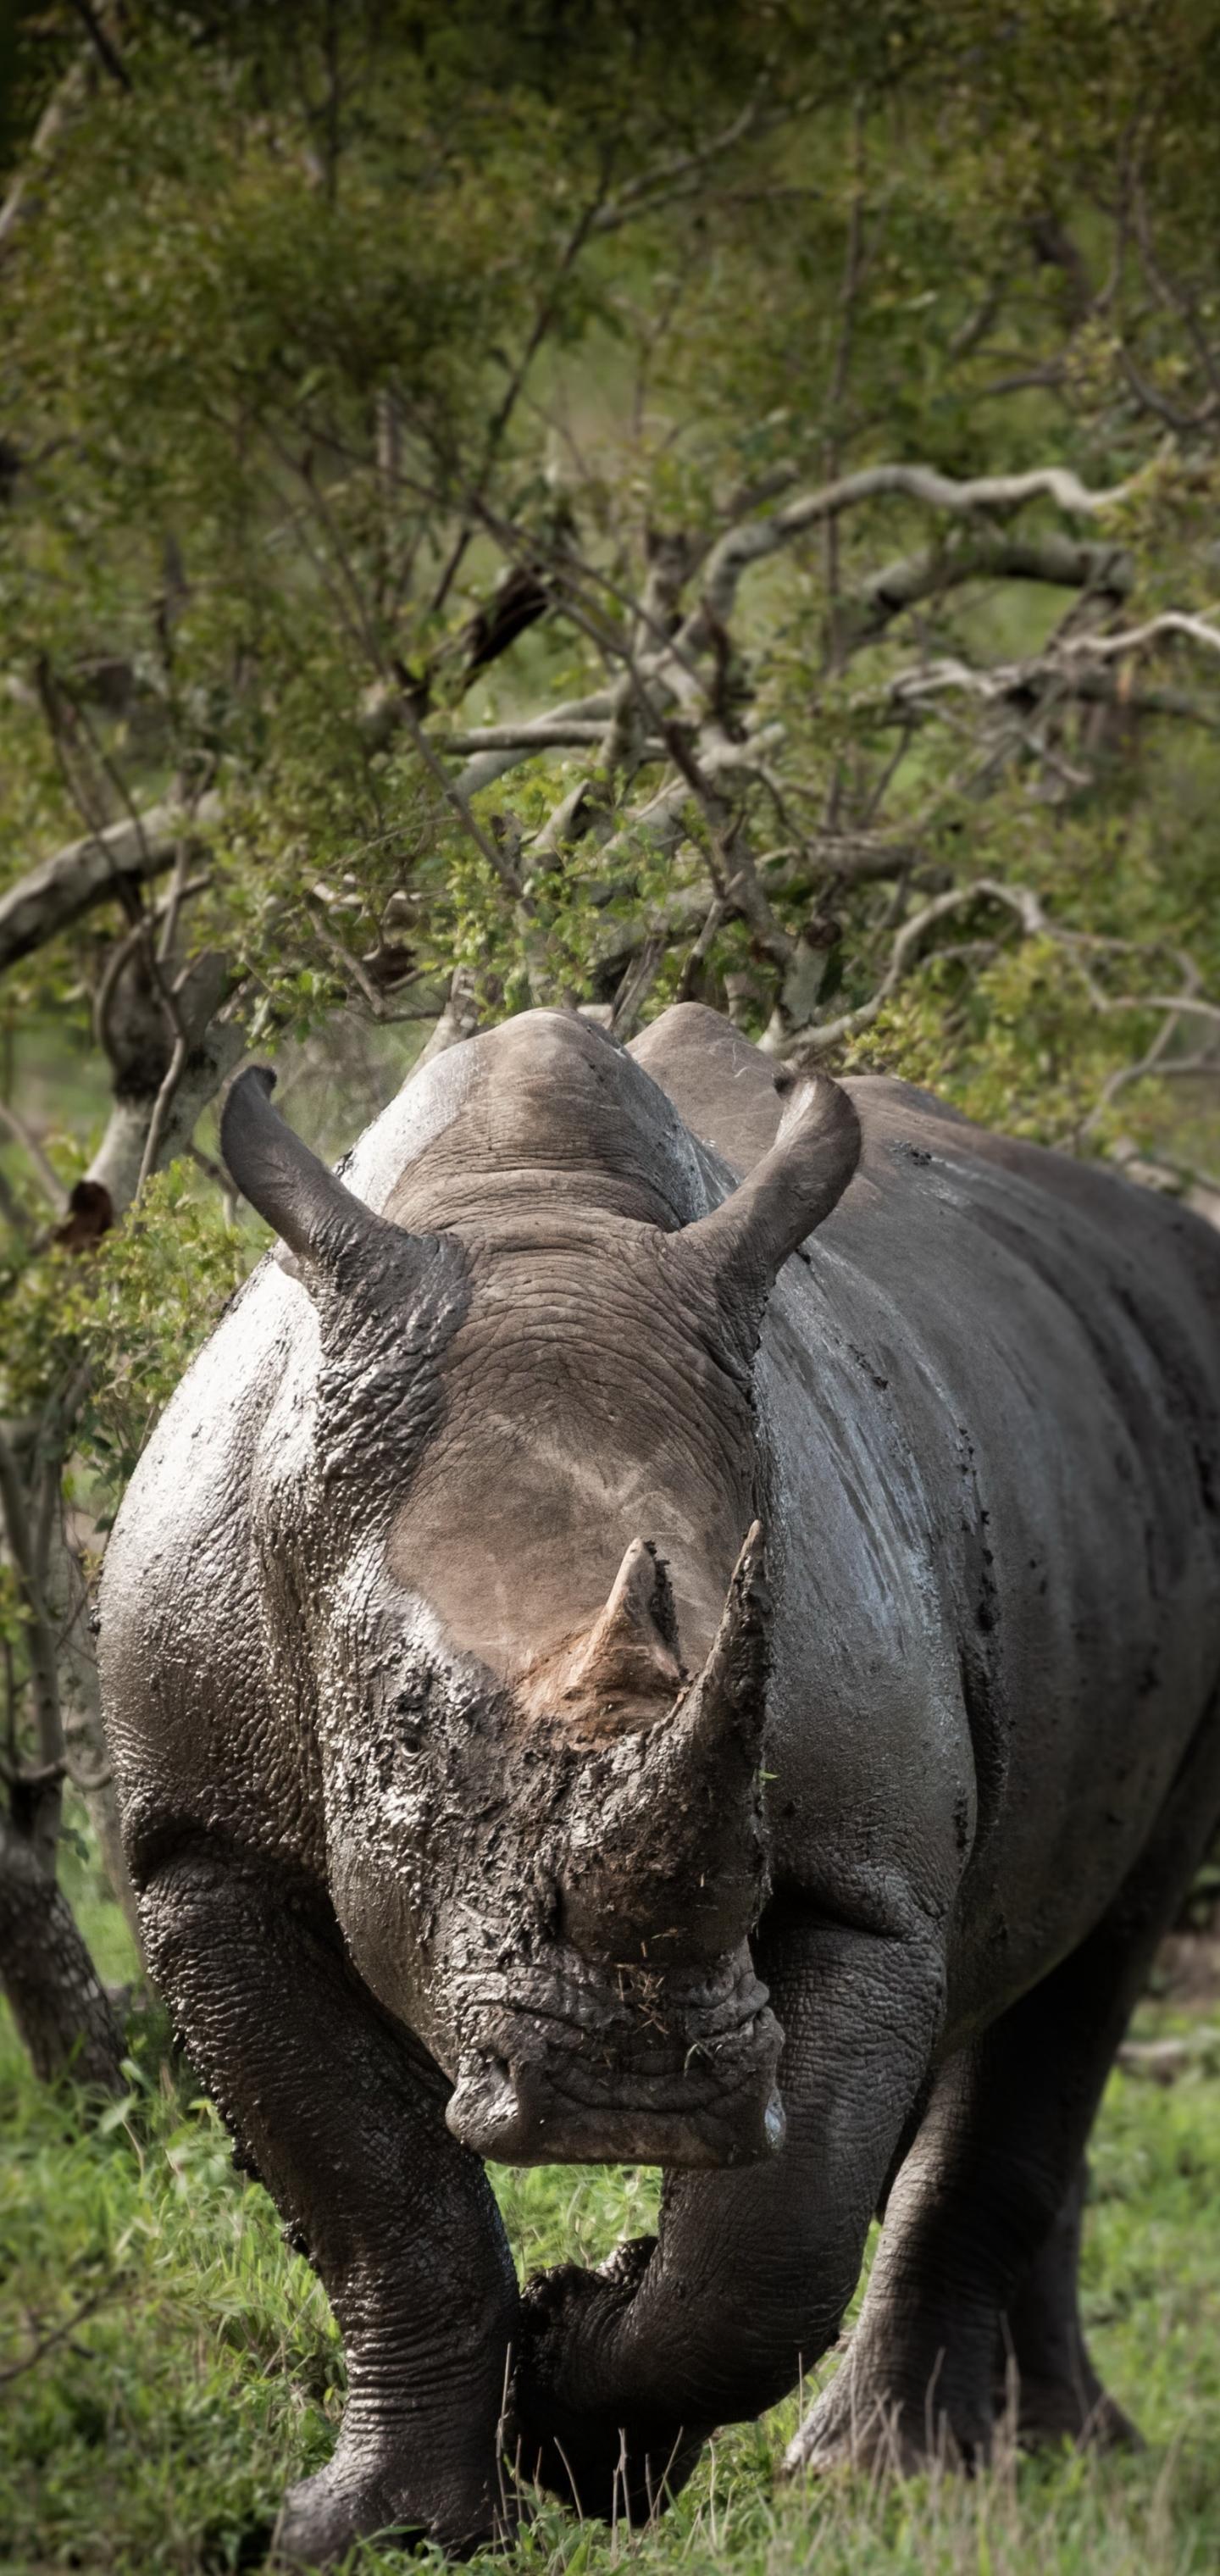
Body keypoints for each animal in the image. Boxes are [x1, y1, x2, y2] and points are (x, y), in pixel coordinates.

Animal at [99, 1002, 1220, 2563]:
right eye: (402, 1722)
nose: (635, 2092)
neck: (533, 1221)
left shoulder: (863, 1880)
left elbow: (774, 2244)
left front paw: (581, 2413)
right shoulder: (197, 1841)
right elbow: (378, 2195)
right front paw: (390, 2534)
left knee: (1102, 1942)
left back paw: (909, 2476)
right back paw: (1033, 2452)